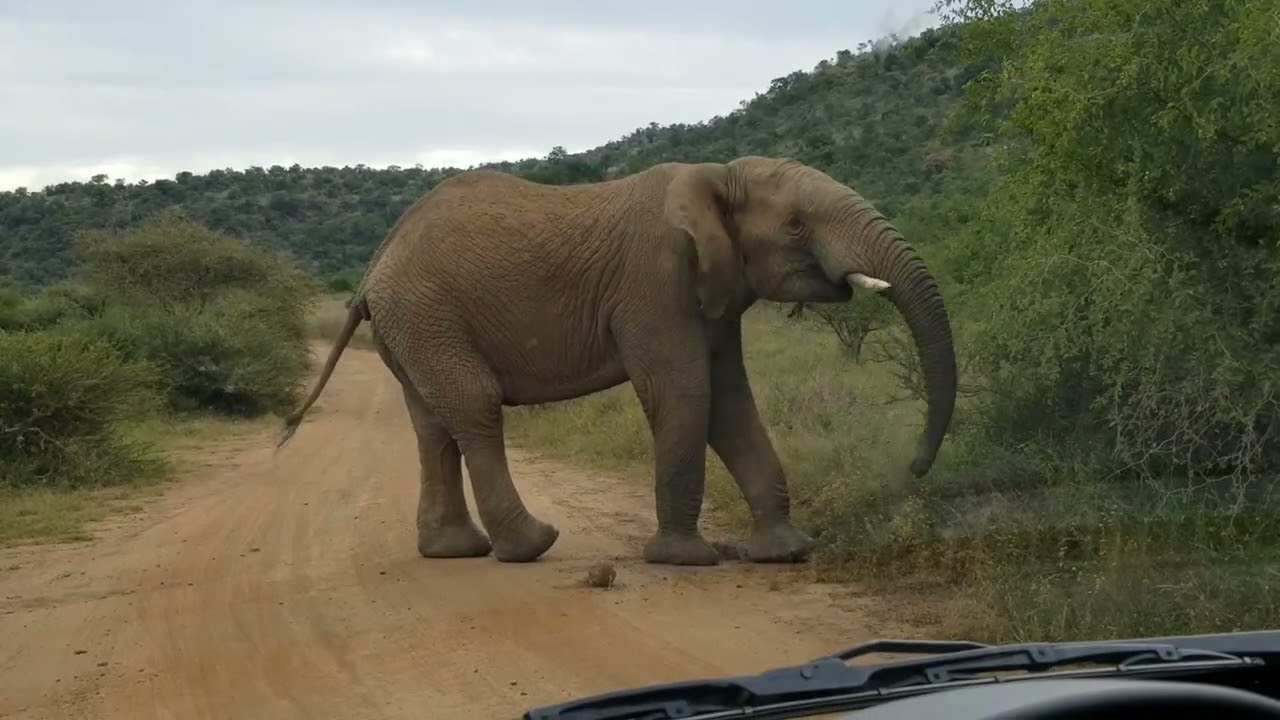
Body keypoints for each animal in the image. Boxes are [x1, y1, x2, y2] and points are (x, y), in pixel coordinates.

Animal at [276, 155, 957, 567]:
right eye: (795, 226)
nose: (916, 469)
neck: (718, 177)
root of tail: (375, 266)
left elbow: (731, 402)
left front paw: (786, 553)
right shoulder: (655, 282)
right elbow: (685, 395)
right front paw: (685, 561)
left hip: (414, 327)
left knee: (432, 425)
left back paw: (455, 551)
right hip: (428, 314)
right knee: (474, 409)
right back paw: (532, 546)